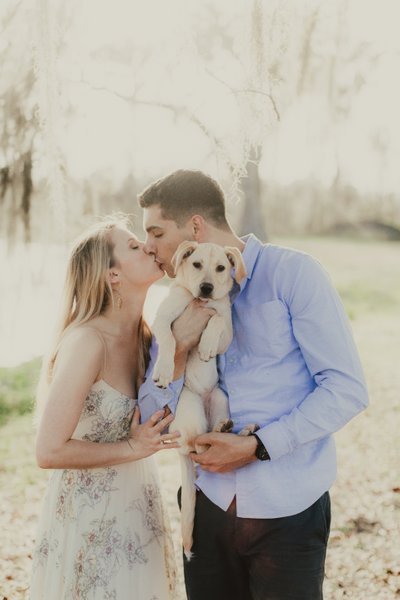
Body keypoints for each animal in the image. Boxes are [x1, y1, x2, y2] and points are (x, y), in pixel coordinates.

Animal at [152, 239, 247, 556]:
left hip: (219, 399)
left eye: (220, 268)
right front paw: (163, 370)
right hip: (190, 408)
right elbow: (169, 339)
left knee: (210, 441)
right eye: (196, 264)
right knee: (198, 448)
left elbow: (216, 320)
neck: (200, 302)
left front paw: (205, 346)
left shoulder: (226, 331)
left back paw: (235, 429)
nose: (206, 288)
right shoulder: (162, 319)